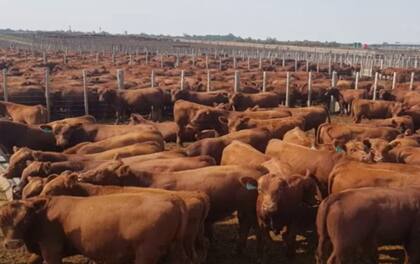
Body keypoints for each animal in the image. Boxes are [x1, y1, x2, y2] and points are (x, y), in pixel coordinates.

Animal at [0, 193, 189, 262]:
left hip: (146, 253)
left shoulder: (51, 250)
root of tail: (172, 198)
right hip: (174, 250)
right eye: (1, 220)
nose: (13, 244)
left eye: (25, 218)